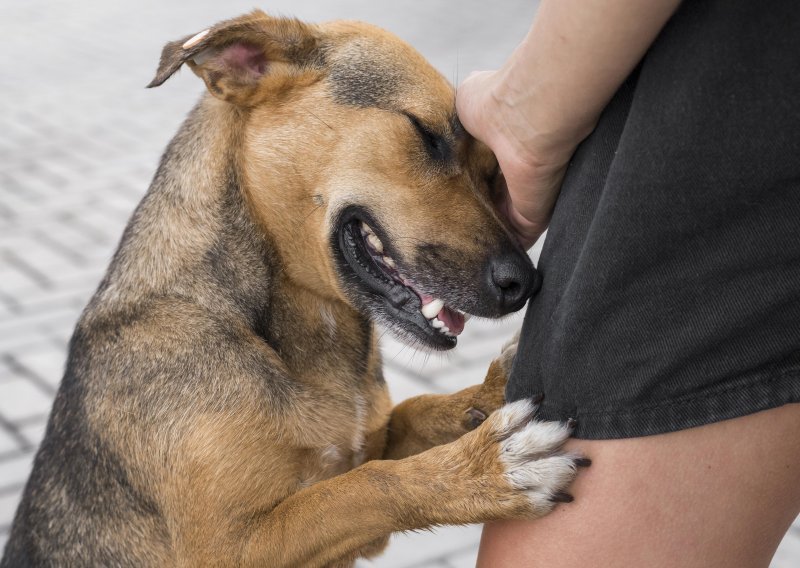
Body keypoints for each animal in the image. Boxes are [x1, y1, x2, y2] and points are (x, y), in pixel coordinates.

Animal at [1, 10, 588, 568]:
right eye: (425, 133)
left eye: (493, 172)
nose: (525, 283)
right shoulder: (231, 549)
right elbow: (363, 487)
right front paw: (482, 469)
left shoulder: (368, 442)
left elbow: (414, 413)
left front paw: (487, 394)